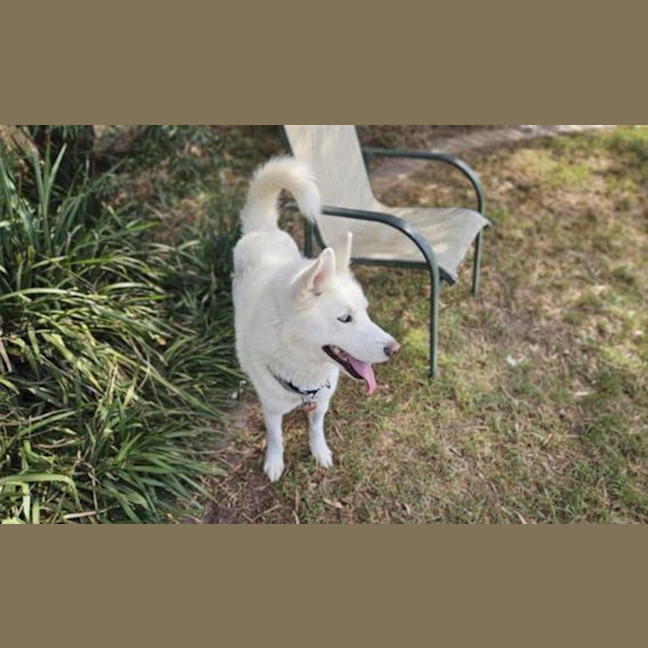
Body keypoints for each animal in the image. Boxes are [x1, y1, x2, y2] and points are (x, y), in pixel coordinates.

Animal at [233, 157, 399, 482]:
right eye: (345, 318)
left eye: (366, 311)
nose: (394, 348)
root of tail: (264, 230)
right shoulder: (271, 409)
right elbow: (276, 437)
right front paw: (275, 462)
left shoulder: (321, 402)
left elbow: (316, 428)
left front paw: (319, 451)